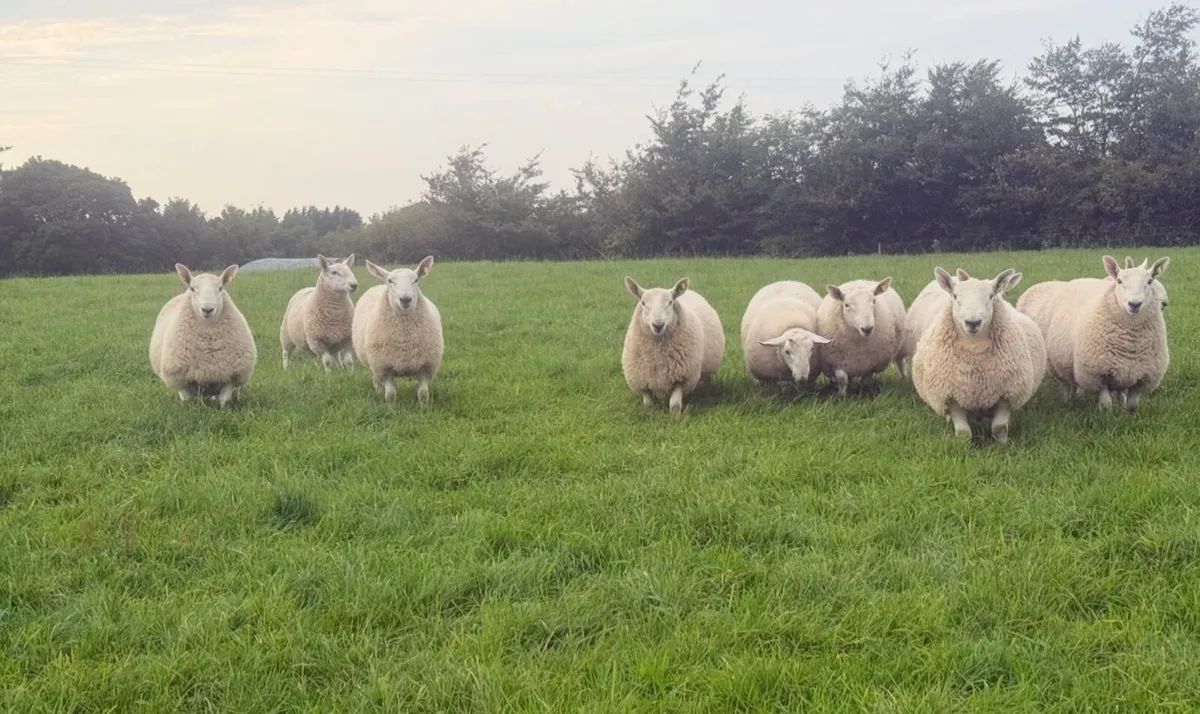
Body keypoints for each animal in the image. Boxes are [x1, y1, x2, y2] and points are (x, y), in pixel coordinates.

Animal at [149, 263, 257, 409]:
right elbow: (187, 400)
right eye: (192, 288)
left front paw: (225, 411)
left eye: (220, 288)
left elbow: (224, 401)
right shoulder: (180, 379)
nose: (207, 309)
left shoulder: (232, 377)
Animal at [352, 256, 444, 405]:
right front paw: (391, 408)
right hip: (372, 363)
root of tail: (379, 285)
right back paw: (378, 392)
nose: (405, 299)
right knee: (375, 380)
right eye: (391, 281)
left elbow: (423, 393)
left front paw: (424, 407)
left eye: (416, 280)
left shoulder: (425, 367)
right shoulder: (384, 368)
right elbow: (390, 394)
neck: (404, 340)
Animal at [621, 277, 725, 417]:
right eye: (643, 303)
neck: (657, 354)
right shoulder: (641, 380)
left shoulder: (682, 378)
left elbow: (674, 405)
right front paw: (651, 415)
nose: (658, 325)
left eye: (670, 302)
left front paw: (676, 419)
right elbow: (648, 405)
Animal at [912, 267, 1045, 443]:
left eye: (991, 296)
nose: (973, 322)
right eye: (955, 296)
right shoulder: (951, 397)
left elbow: (999, 429)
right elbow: (963, 434)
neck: (974, 347)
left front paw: (1003, 446)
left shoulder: (1006, 394)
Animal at [1016, 255, 1169, 411]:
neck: (1130, 343)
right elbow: (1106, 405)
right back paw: (1067, 401)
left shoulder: (1142, 378)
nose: (1134, 304)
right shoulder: (1097, 375)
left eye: (1149, 281)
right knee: (1066, 384)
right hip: (1057, 364)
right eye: (1119, 281)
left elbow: (1132, 406)